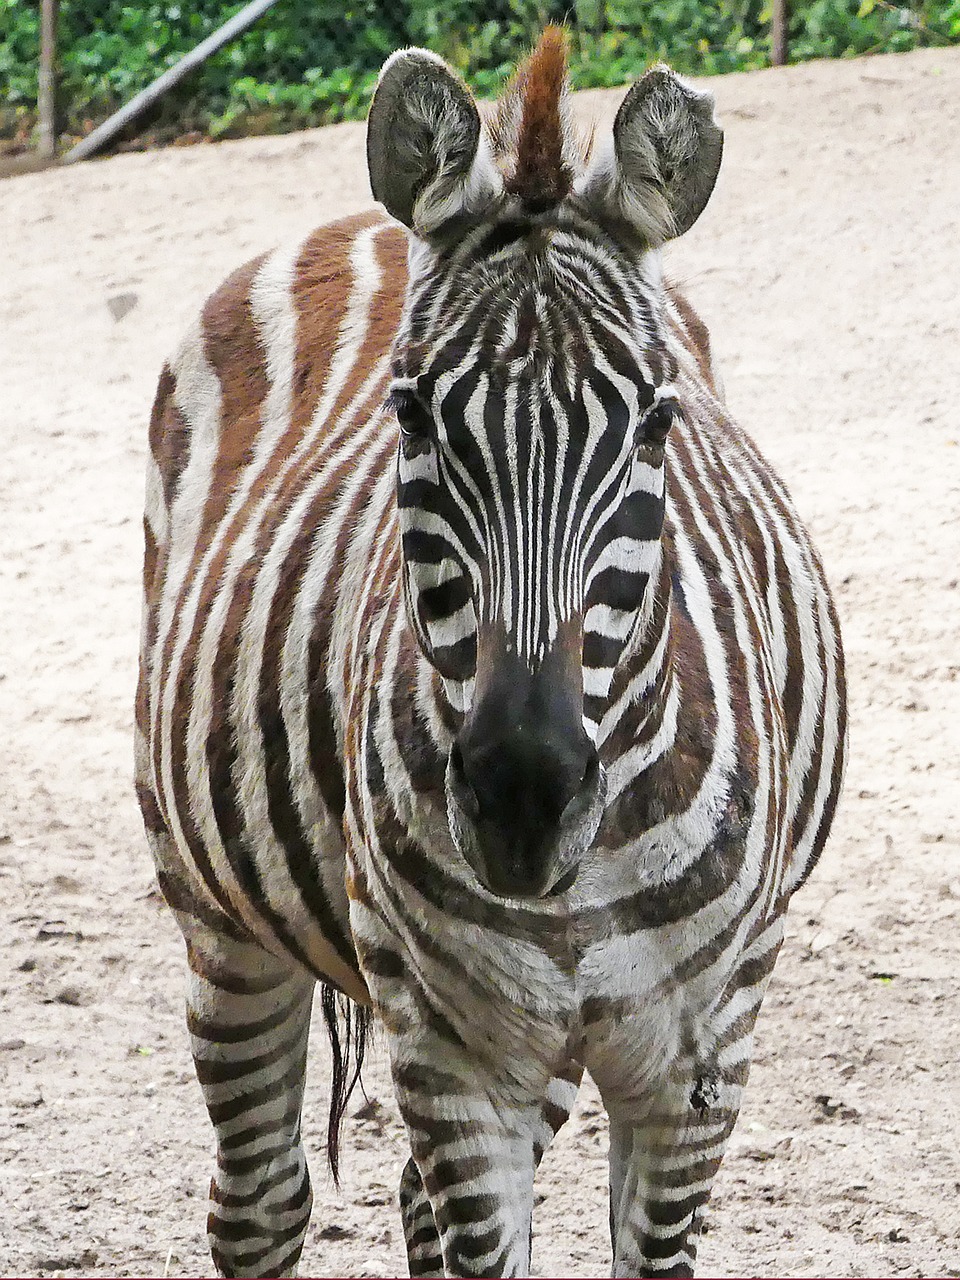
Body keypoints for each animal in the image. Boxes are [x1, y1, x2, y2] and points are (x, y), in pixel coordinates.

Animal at [136, 30, 849, 1280]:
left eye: (658, 420)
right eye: (412, 414)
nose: (521, 794)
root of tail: (364, 218)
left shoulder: (703, 1052)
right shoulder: (453, 1046)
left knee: (405, 1202)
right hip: (215, 908)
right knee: (261, 1202)